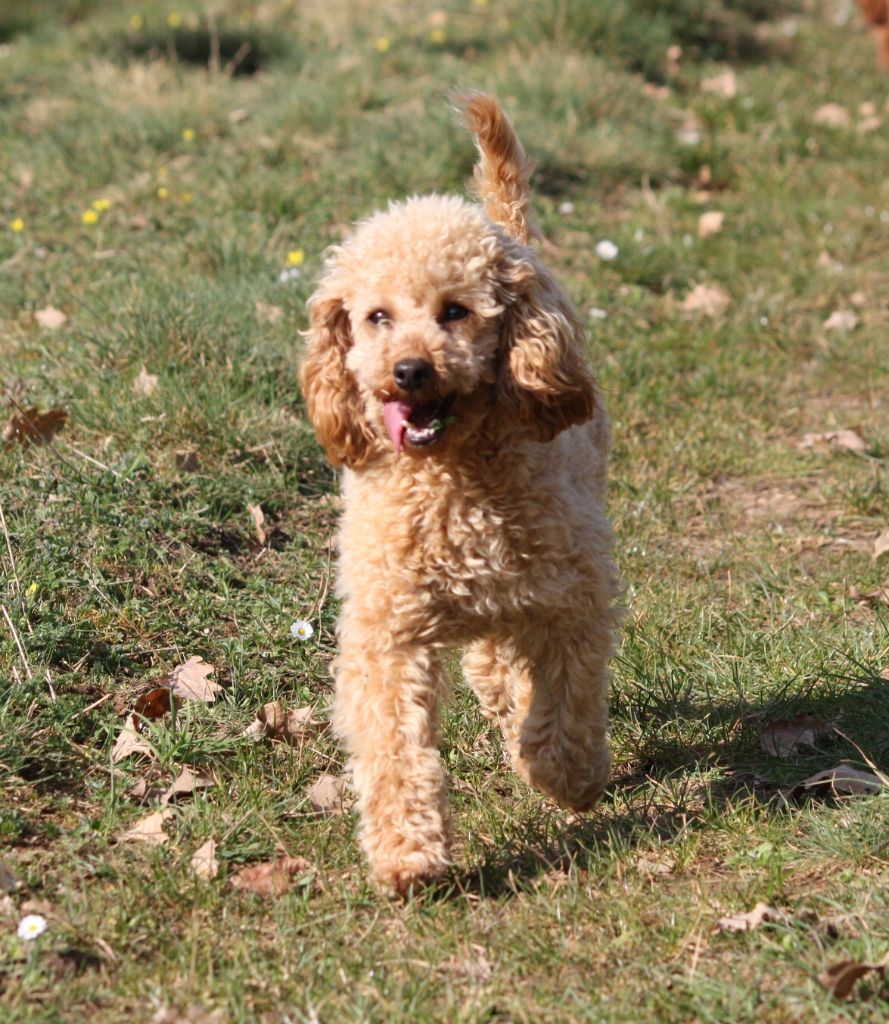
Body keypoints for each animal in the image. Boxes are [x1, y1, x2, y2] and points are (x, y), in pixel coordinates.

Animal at [299, 96, 618, 897]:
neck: (454, 479)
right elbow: (394, 746)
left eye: (455, 311)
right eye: (376, 316)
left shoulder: (573, 601)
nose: (409, 371)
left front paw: (565, 776)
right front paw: (408, 855)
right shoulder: (388, 632)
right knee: (490, 660)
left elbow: (566, 701)